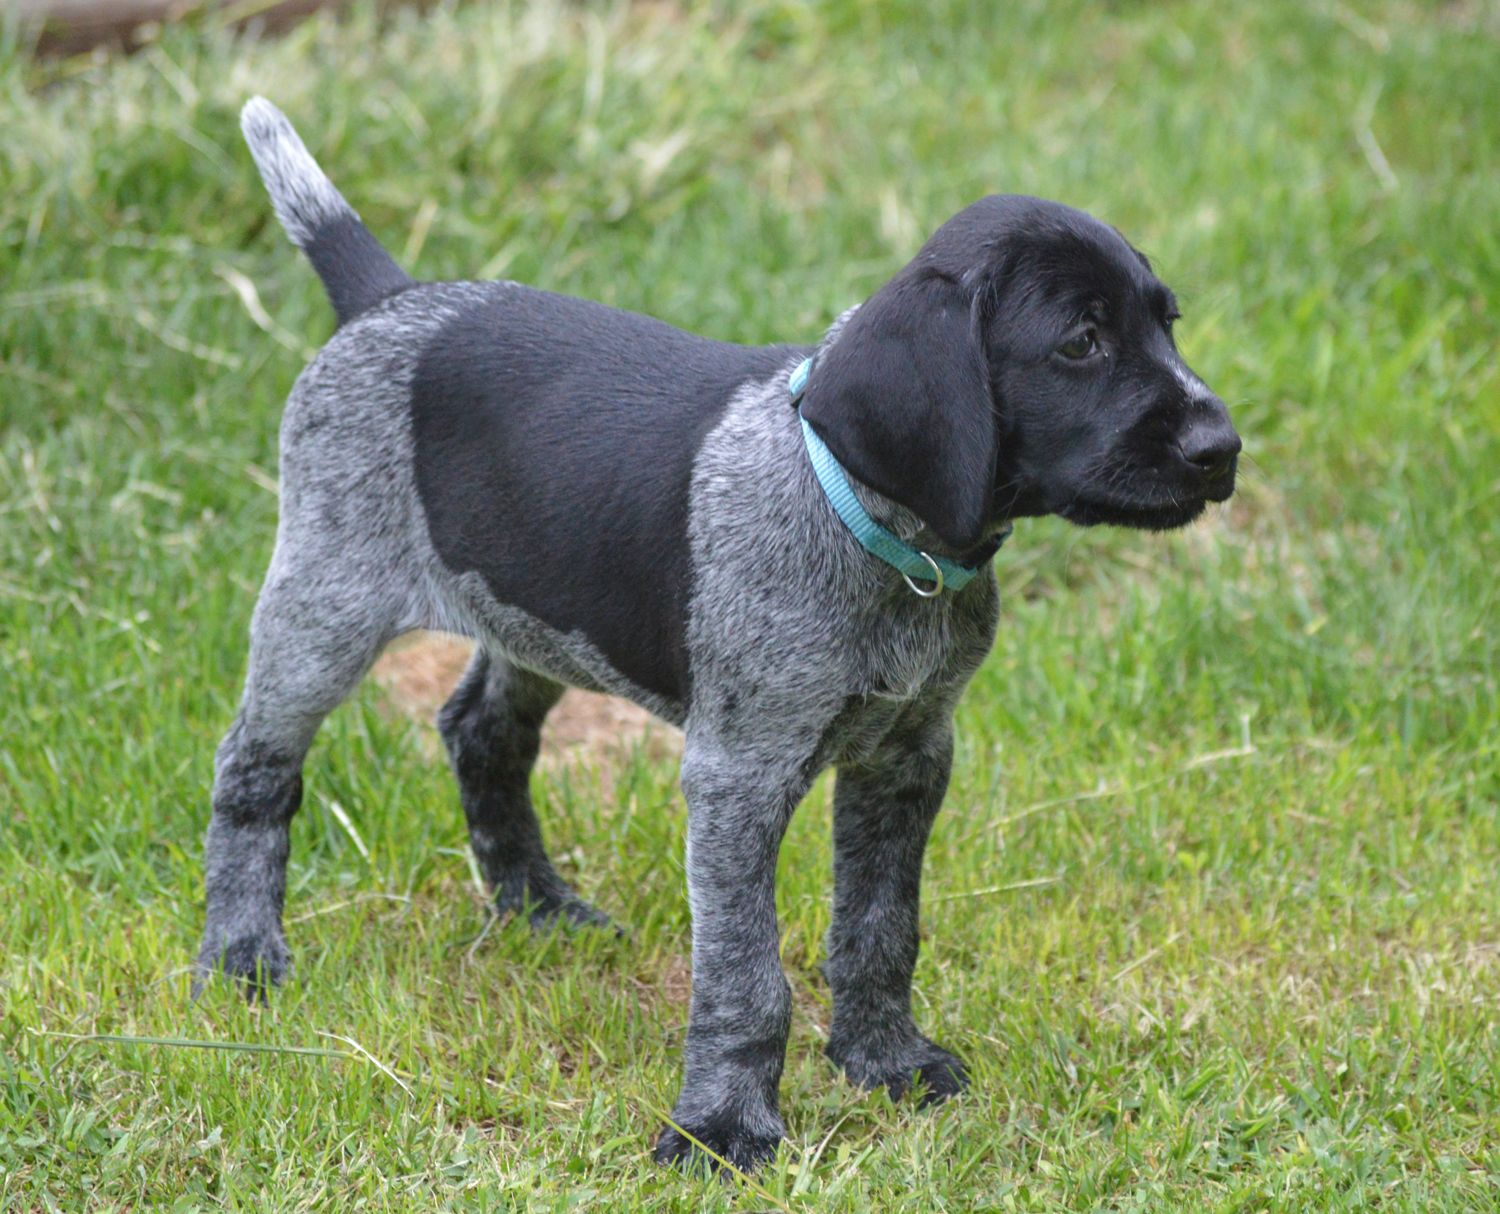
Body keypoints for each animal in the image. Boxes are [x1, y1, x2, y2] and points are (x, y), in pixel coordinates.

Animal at [197, 97, 1240, 1172]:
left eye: (1165, 324)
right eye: (1081, 343)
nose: (1221, 448)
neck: (866, 525)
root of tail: (389, 301)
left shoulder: (908, 755)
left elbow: (880, 930)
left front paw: (884, 1061)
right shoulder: (740, 777)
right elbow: (745, 979)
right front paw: (722, 1127)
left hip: (537, 611)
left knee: (482, 734)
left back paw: (538, 908)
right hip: (326, 603)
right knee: (254, 772)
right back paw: (240, 955)